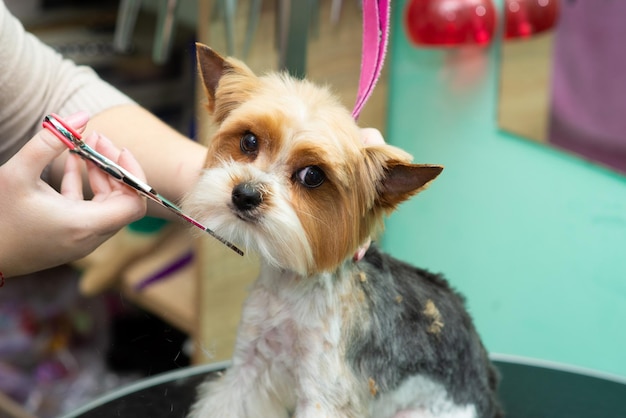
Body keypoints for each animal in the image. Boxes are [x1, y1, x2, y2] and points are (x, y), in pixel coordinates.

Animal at [182, 43, 502, 418]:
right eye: (248, 141)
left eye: (312, 176)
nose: (245, 194)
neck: (291, 289)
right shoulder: (250, 366)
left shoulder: (325, 391)